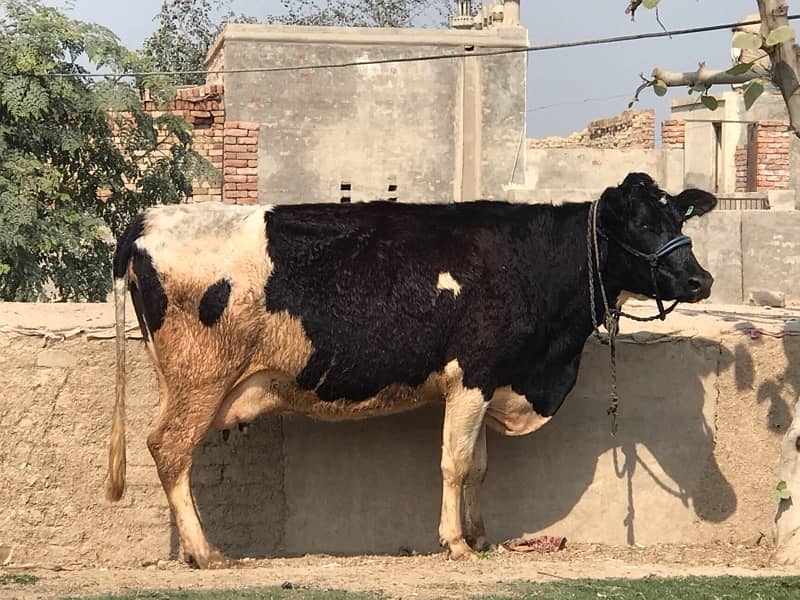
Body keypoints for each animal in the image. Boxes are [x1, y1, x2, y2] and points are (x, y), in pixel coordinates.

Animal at [108, 172, 720, 568]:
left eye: (676, 215)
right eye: (639, 222)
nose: (701, 280)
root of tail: (150, 219)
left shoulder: (488, 380)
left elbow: (478, 468)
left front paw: (480, 536)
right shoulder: (472, 373)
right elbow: (455, 463)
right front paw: (454, 542)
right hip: (199, 379)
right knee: (169, 449)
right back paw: (206, 552)